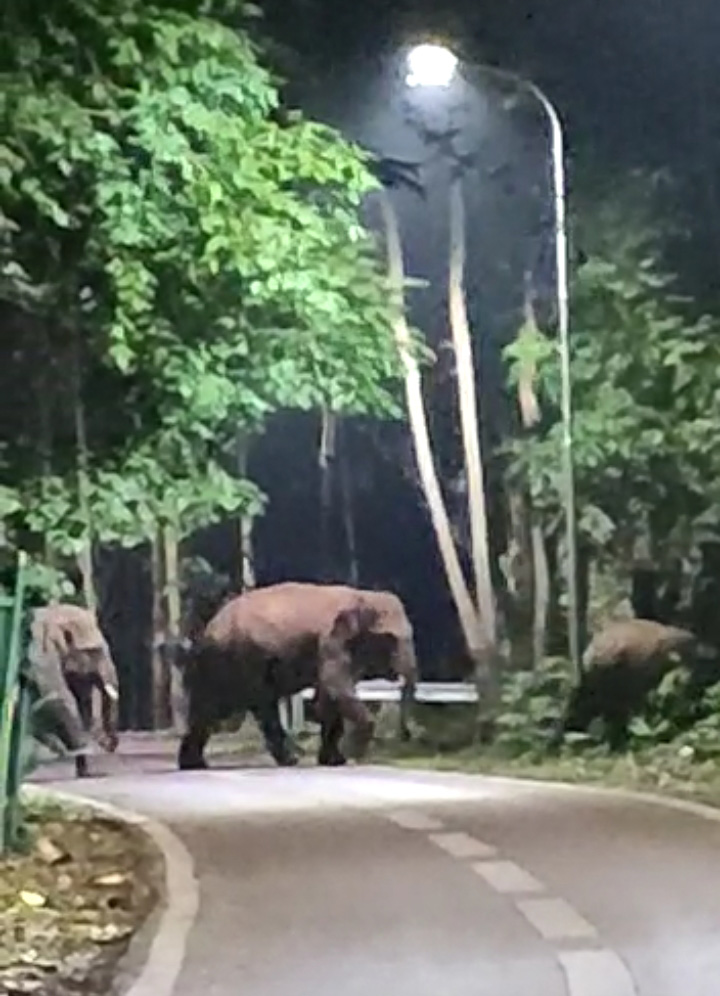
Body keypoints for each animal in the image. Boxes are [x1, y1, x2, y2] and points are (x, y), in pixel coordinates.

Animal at [26, 603, 120, 777]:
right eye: (94, 651)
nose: (109, 745)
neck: (55, 613)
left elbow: (80, 702)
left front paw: (85, 772)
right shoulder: (40, 652)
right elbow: (56, 694)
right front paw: (84, 747)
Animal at [175, 581, 418, 771]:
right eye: (391, 638)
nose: (407, 735)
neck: (363, 596)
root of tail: (207, 629)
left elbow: (328, 696)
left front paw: (334, 761)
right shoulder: (330, 642)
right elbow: (335, 687)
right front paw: (351, 755)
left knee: (215, 710)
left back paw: (193, 764)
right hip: (236, 659)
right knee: (242, 707)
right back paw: (290, 760)